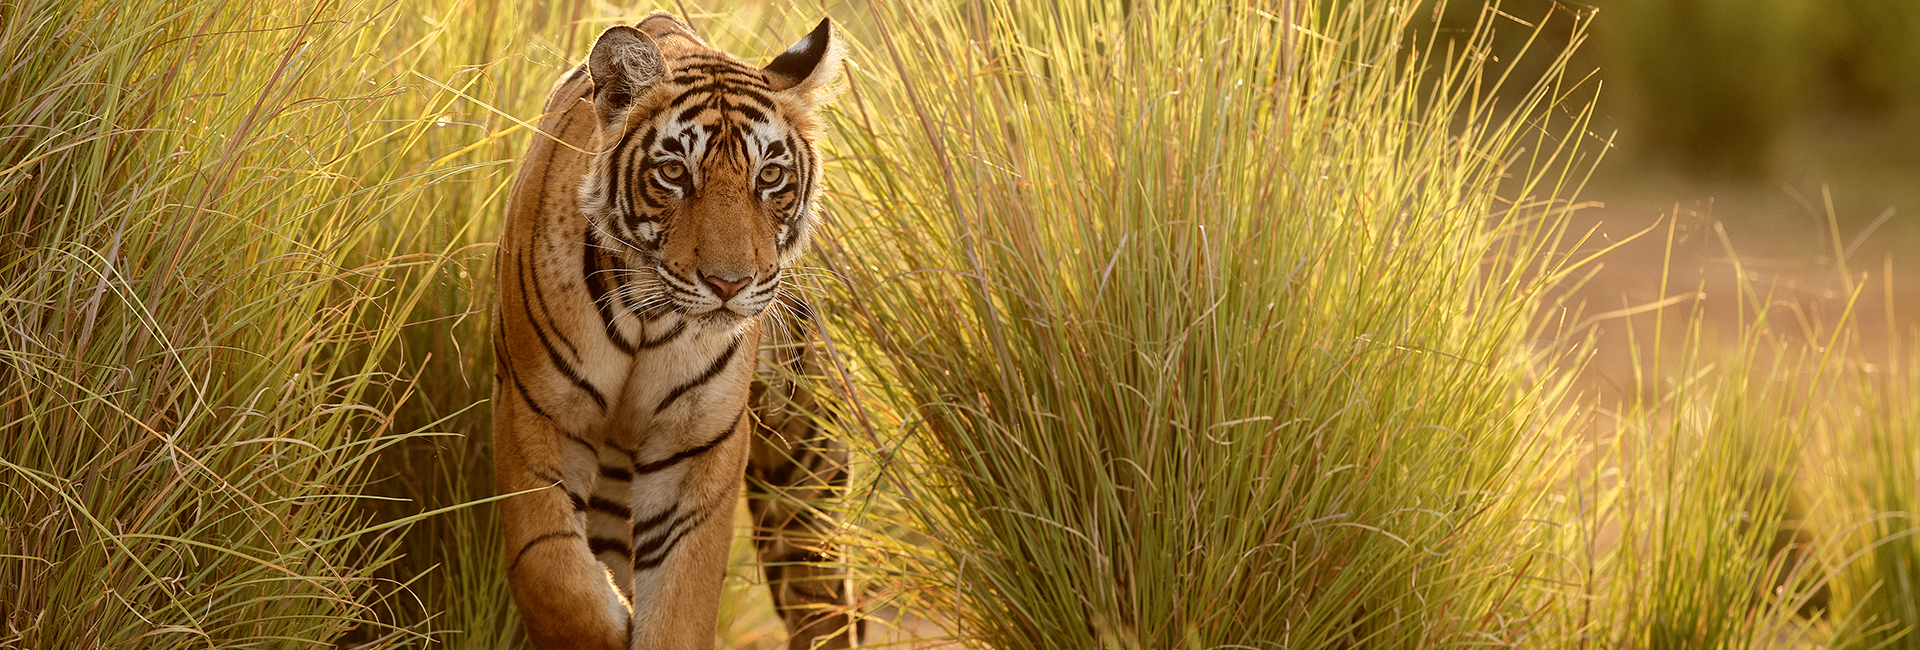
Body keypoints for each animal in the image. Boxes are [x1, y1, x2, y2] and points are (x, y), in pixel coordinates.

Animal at [491, 12, 856, 650]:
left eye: (770, 176)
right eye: (673, 173)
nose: (730, 283)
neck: (647, 318)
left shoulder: (697, 442)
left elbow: (682, 597)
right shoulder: (537, 411)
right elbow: (551, 571)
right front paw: (610, 624)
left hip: (805, 465)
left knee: (824, 603)